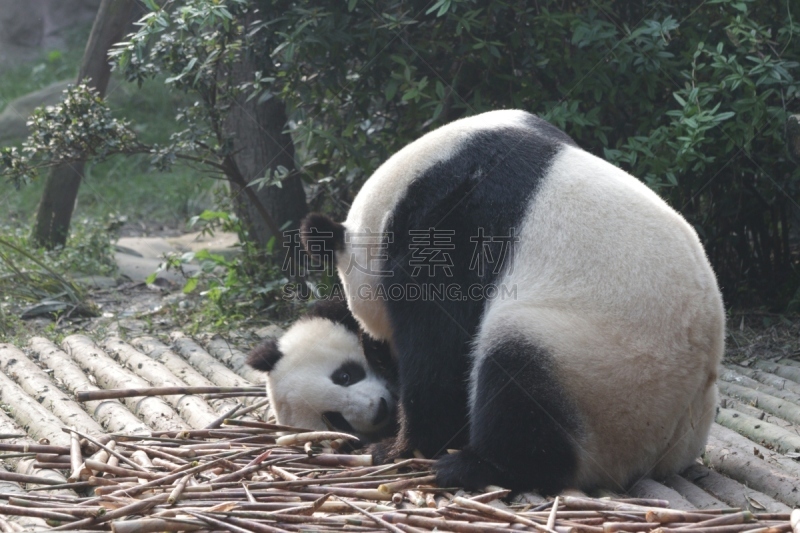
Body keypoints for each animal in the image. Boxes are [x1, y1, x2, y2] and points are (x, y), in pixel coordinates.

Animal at [300, 109, 724, 494]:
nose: (381, 357)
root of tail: (660, 455)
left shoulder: (453, 223)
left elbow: (439, 348)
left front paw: (397, 447)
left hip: (608, 378)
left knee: (519, 377)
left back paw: (476, 466)